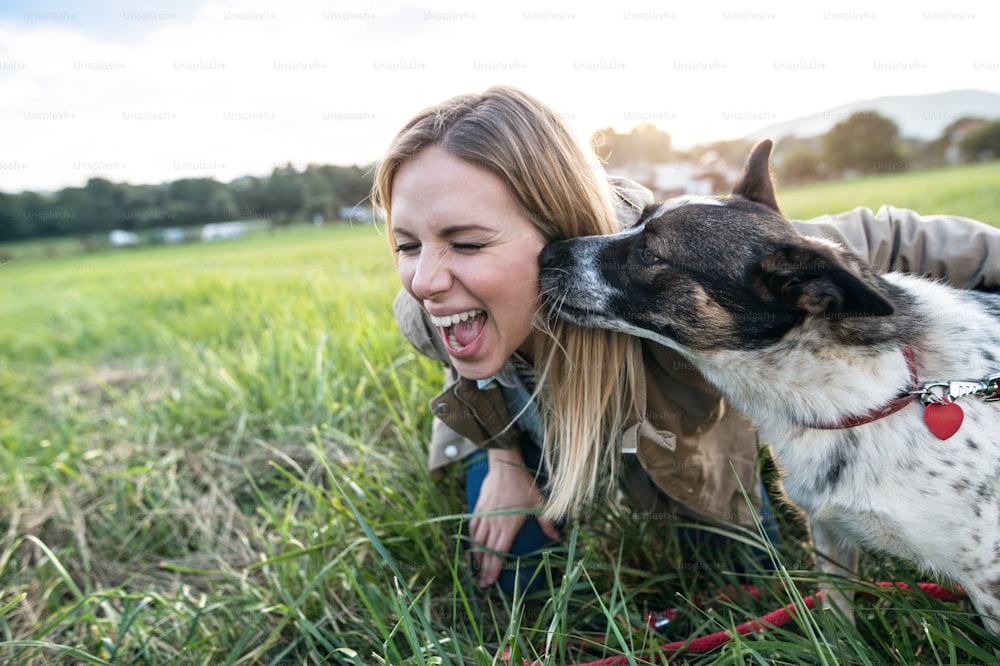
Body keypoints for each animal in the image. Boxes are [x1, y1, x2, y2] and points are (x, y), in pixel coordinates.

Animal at [544, 139, 1000, 628]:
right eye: (635, 220)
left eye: (649, 253)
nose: (545, 254)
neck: (888, 389)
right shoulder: (830, 536)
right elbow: (839, 627)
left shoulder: (989, 582)